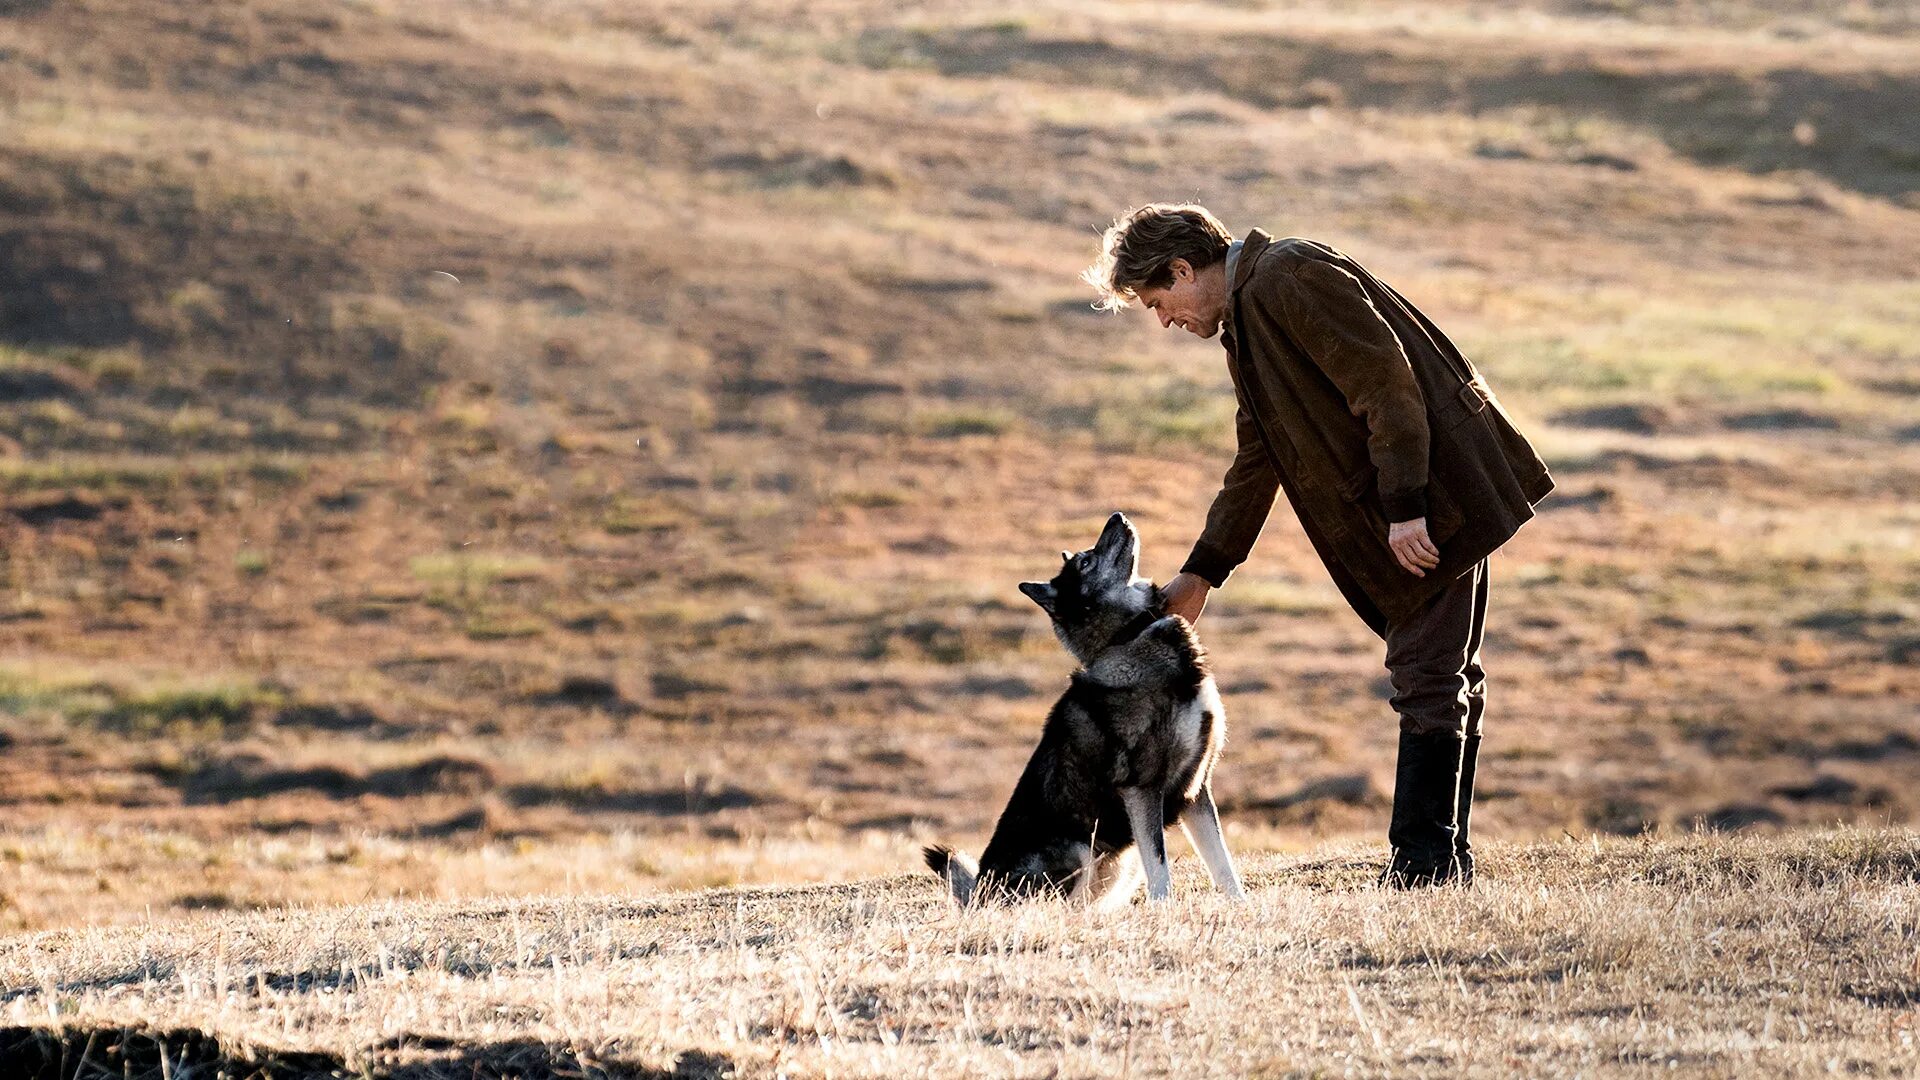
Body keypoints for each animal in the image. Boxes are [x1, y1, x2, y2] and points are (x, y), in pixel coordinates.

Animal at [925, 511, 1244, 899]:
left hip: (1121, 864)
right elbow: (1161, 870)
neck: (1126, 636)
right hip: (1081, 848)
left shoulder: (1196, 791)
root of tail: (980, 894)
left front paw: (1240, 906)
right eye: (1086, 562)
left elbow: (1223, 865)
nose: (1117, 516)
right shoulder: (1142, 790)